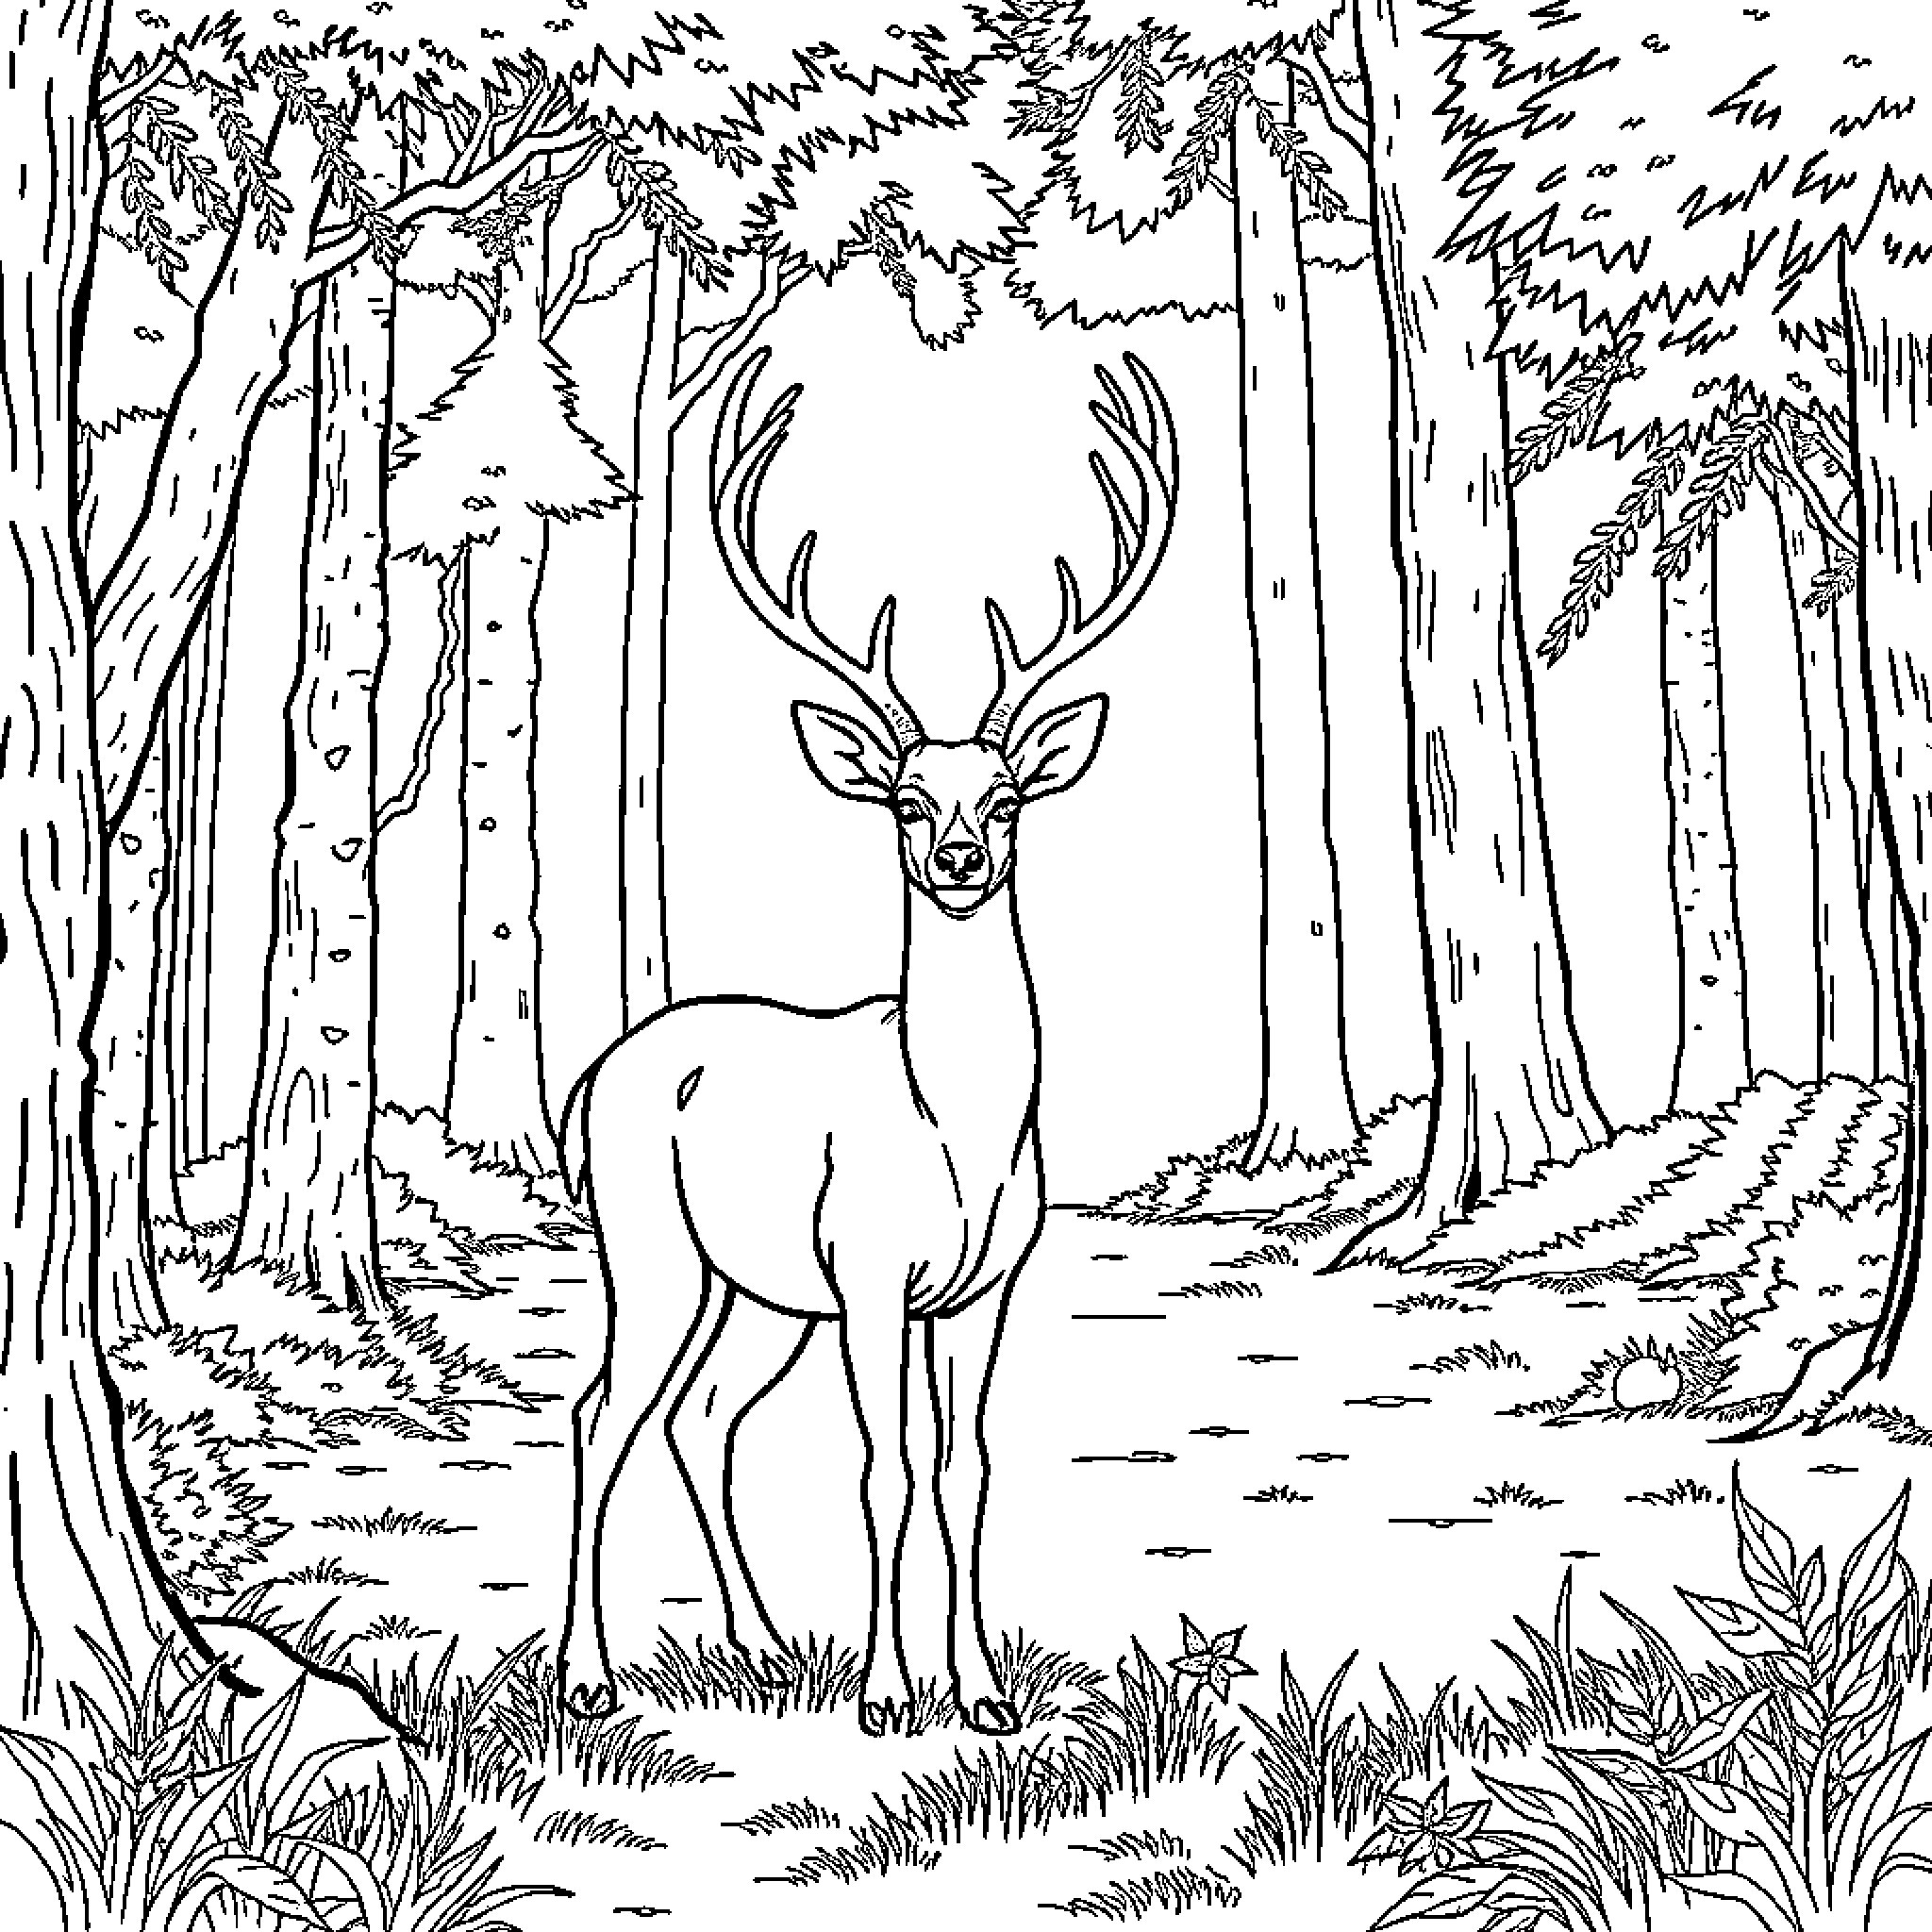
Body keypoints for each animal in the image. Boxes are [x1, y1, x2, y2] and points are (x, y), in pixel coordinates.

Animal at [553, 348, 1177, 1737]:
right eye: (902, 797)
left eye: (1005, 794)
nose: (957, 858)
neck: (956, 1131)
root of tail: (593, 1079)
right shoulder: (873, 1270)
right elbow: (883, 1464)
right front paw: (895, 1692)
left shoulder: (984, 1282)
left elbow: (966, 1464)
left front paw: (985, 1690)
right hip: (650, 1241)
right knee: (598, 1410)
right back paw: (587, 1673)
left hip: (754, 1288)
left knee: (701, 1418)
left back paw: (765, 1644)